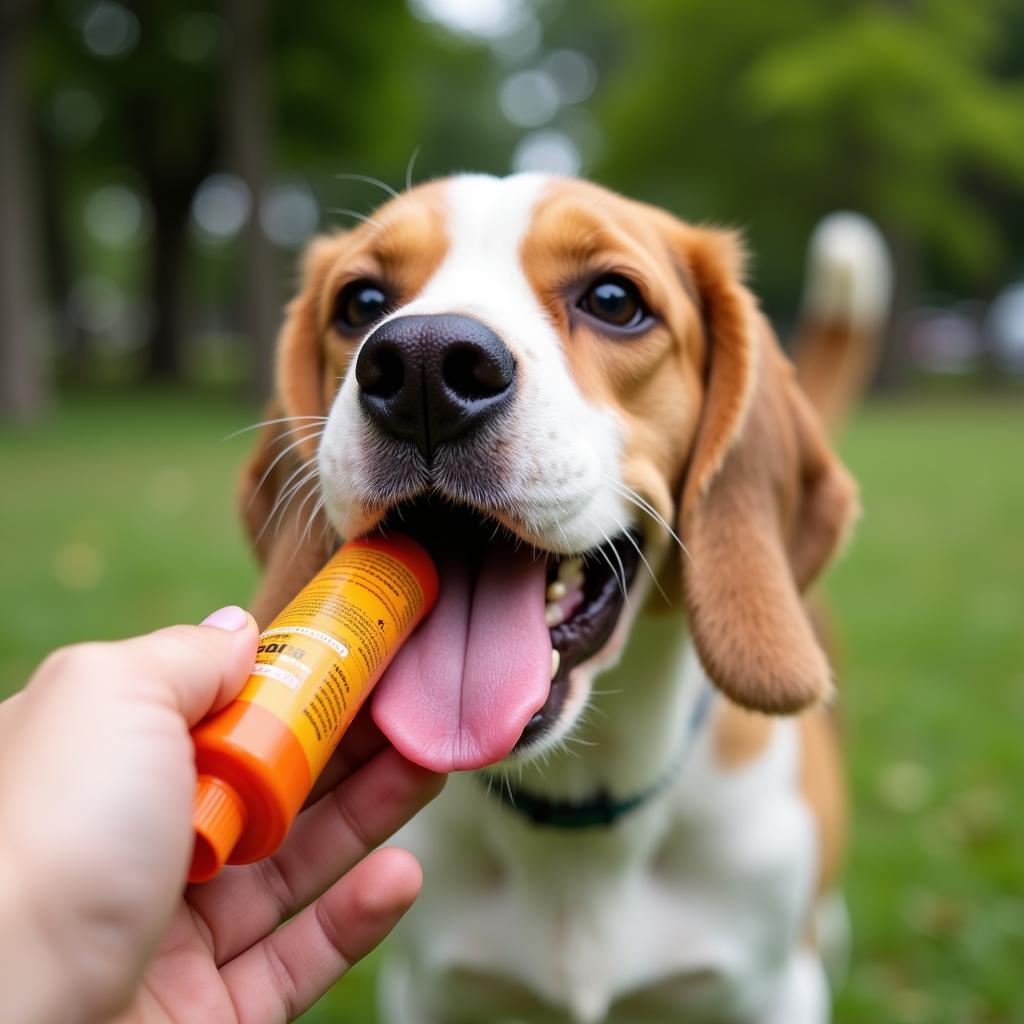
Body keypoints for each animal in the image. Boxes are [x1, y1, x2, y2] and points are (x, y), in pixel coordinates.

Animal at [239, 176, 888, 1024]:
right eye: (361, 301)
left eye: (614, 299)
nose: (421, 364)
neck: (576, 823)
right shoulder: (427, 991)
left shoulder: (776, 991)